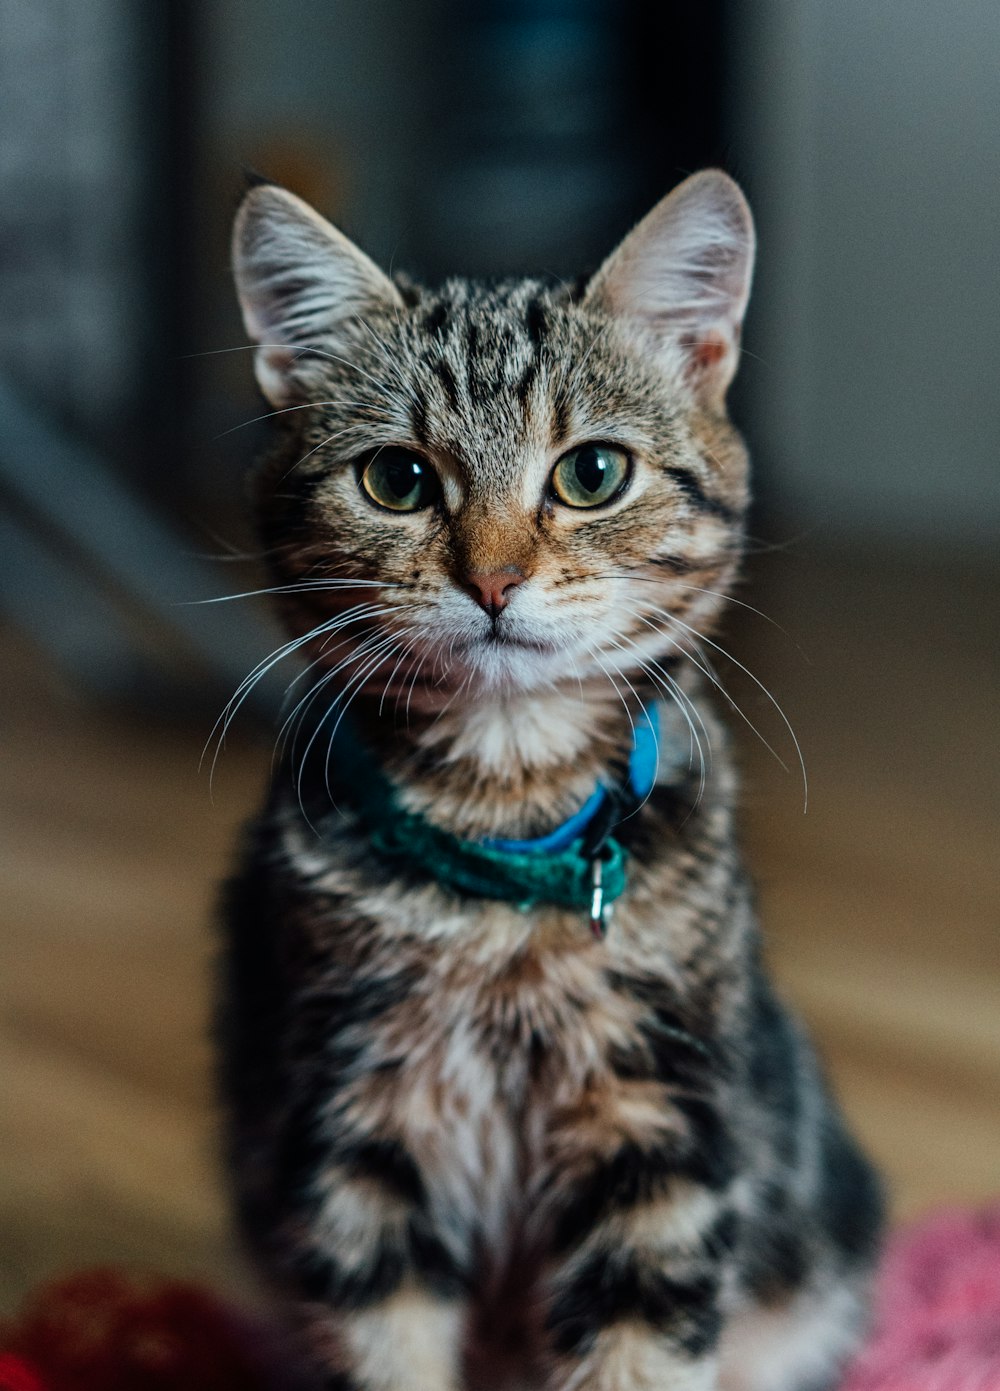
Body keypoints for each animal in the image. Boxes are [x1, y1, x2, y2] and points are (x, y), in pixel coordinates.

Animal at [221, 165, 884, 1391]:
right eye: (397, 478)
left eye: (592, 473)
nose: (492, 579)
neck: (503, 806)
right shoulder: (349, 1130)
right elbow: (383, 1344)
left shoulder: (656, 1130)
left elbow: (635, 1351)